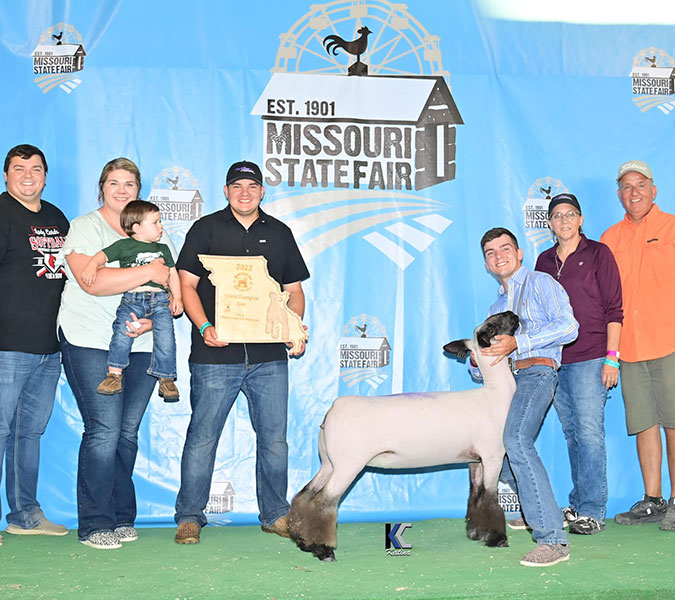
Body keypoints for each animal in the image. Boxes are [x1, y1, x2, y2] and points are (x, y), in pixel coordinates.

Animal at [288, 312, 520, 560]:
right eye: (492, 327)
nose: (513, 314)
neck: (496, 393)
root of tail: (332, 409)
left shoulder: (475, 460)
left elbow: (477, 495)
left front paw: (477, 533)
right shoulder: (493, 455)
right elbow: (490, 498)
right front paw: (497, 538)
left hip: (329, 463)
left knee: (306, 495)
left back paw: (302, 541)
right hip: (348, 465)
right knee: (323, 501)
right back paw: (323, 549)